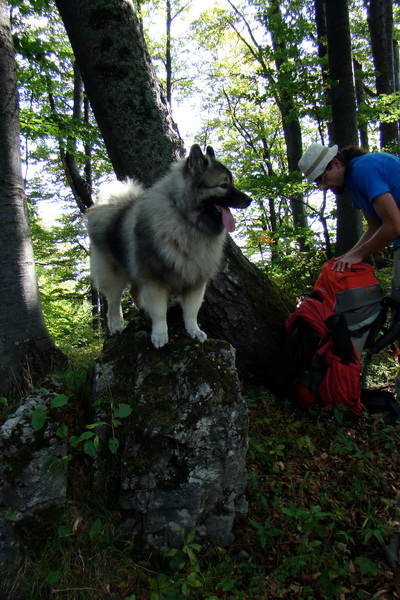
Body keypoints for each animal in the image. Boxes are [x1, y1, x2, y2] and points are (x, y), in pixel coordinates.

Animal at [86, 144, 252, 346]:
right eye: (223, 185)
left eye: (231, 183)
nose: (249, 200)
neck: (188, 220)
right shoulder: (154, 278)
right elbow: (160, 312)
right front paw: (159, 334)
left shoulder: (195, 280)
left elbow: (191, 312)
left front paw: (194, 330)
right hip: (114, 274)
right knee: (113, 301)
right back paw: (116, 325)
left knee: (134, 291)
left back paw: (144, 310)